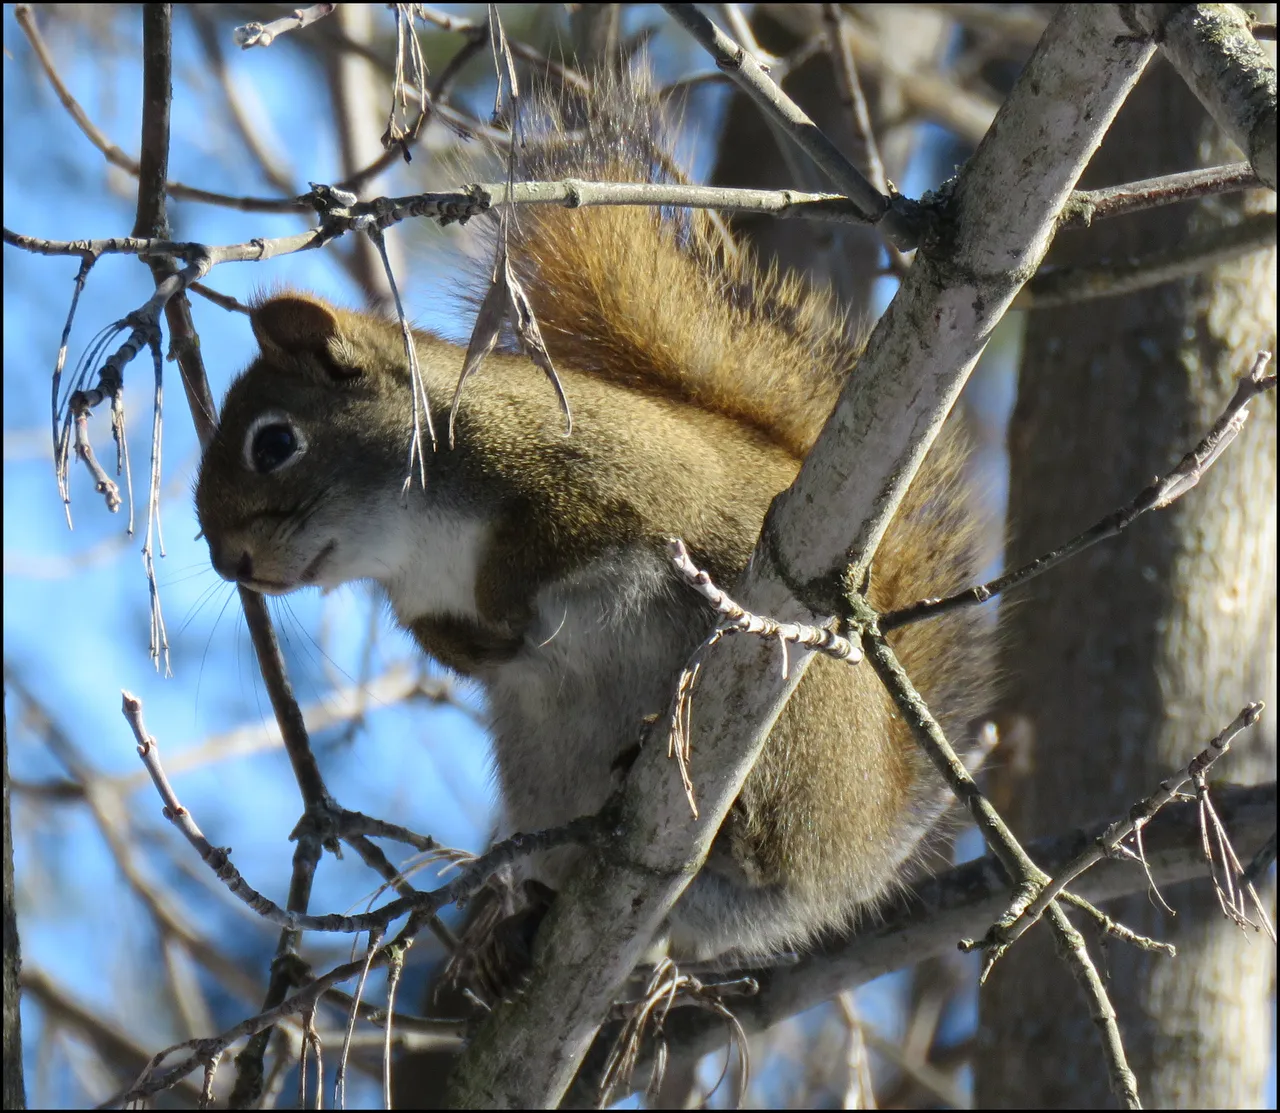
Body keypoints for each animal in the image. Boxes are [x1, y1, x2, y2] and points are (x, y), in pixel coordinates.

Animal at [194, 69, 988, 977]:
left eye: (274, 443)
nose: (230, 561)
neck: (414, 540)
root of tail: (848, 861)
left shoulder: (606, 487)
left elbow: (557, 543)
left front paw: (505, 607)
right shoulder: (417, 597)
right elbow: (448, 639)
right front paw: (479, 646)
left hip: (797, 725)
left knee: (766, 834)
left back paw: (732, 822)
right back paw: (518, 935)